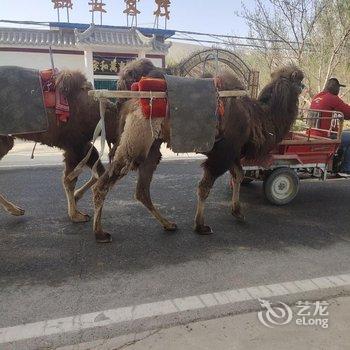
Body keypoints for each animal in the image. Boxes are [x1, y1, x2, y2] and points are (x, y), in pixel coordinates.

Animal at [0, 59, 156, 223]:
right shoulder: (75, 145)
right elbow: (70, 180)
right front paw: (76, 215)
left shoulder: (84, 145)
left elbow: (98, 172)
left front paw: (76, 198)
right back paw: (15, 210)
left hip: (5, 140)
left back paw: (16, 210)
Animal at [92, 61, 304, 242]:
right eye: (299, 80)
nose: (305, 86)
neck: (256, 118)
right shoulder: (224, 152)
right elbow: (205, 187)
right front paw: (201, 226)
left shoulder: (231, 150)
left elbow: (238, 175)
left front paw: (238, 212)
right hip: (139, 137)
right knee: (105, 183)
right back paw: (100, 232)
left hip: (151, 145)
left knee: (141, 189)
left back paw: (168, 224)